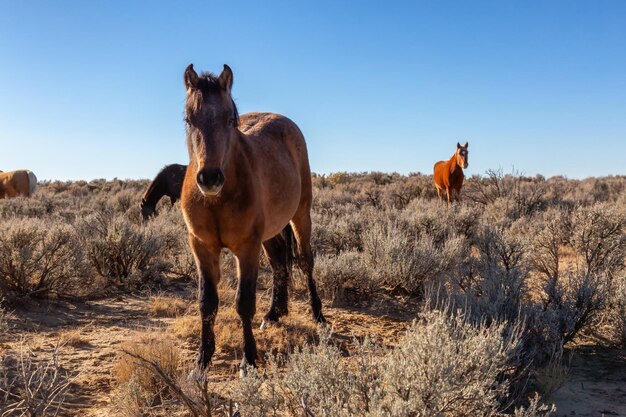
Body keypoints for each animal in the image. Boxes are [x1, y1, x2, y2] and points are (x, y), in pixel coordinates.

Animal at [179, 64, 324, 370]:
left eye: (229, 119)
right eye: (188, 119)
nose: (209, 178)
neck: (217, 199)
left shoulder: (246, 249)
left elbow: (243, 303)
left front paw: (249, 360)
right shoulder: (202, 247)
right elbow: (206, 302)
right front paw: (202, 360)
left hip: (300, 216)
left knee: (306, 262)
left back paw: (319, 315)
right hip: (269, 235)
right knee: (280, 265)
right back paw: (274, 314)